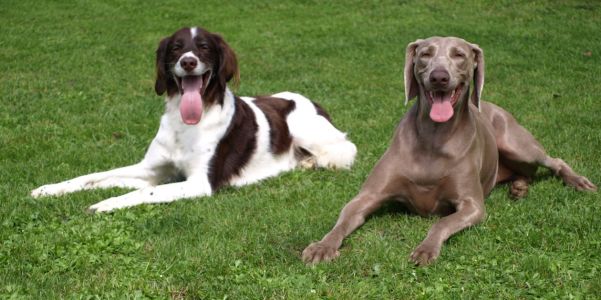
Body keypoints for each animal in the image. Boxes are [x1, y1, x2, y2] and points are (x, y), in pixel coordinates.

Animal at [30, 27, 356, 212]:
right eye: (176, 47)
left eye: (204, 47)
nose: (188, 62)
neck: (185, 126)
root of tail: (312, 101)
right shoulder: (150, 169)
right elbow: (92, 177)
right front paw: (49, 189)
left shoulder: (200, 182)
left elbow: (145, 191)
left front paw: (104, 204)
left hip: (309, 132)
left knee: (345, 150)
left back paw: (309, 162)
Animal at [302, 37, 592, 264]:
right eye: (425, 54)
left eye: (459, 55)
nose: (439, 77)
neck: (434, 137)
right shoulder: (368, 196)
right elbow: (342, 221)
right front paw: (322, 246)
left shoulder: (472, 205)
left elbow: (442, 222)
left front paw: (426, 249)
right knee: (526, 173)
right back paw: (518, 188)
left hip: (517, 143)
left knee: (554, 160)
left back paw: (577, 181)